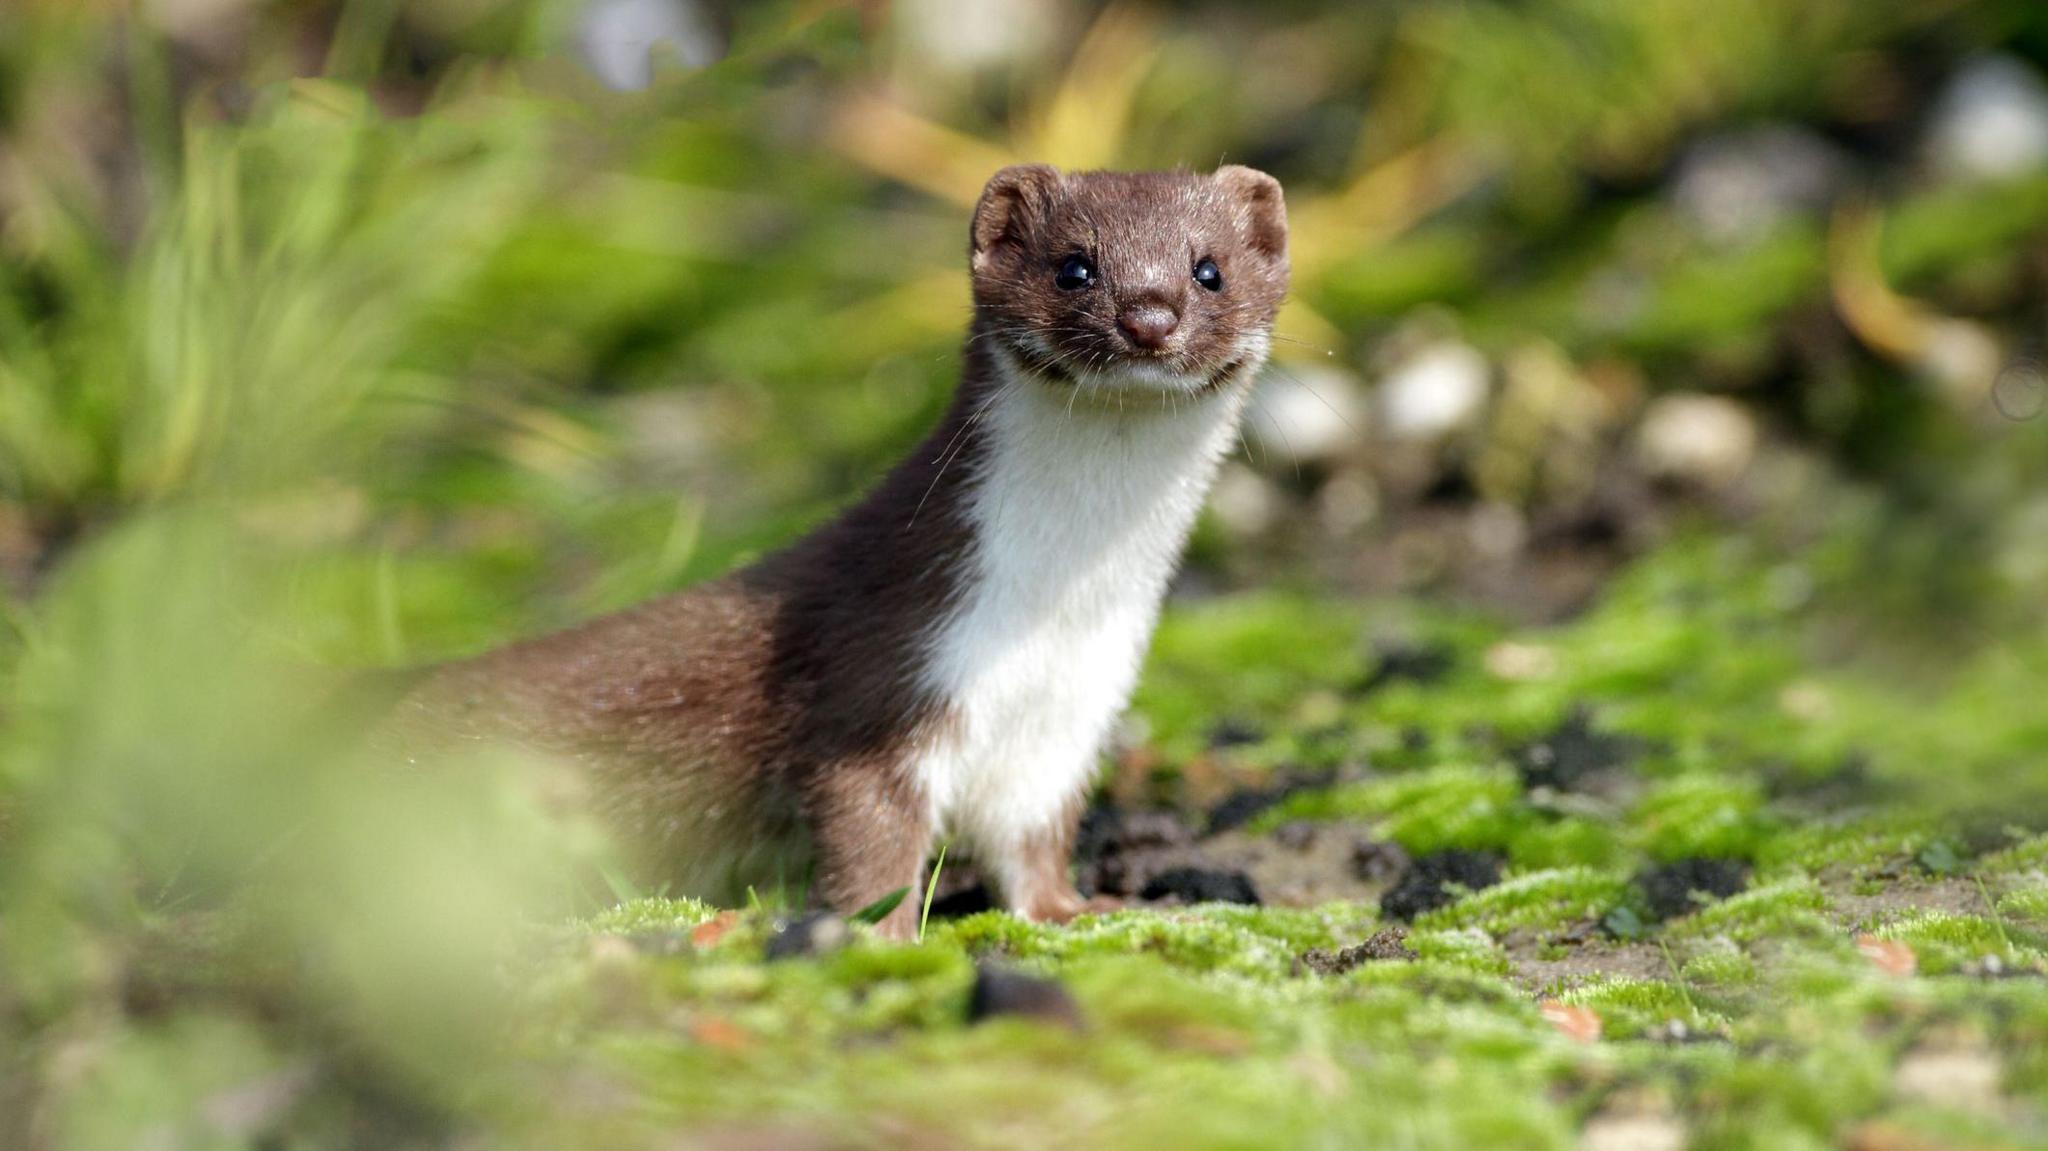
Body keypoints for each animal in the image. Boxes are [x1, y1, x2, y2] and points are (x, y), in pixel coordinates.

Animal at [391, 165, 1286, 938]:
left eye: (1208, 270)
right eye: (1075, 266)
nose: (1149, 316)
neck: (1050, 615)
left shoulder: (1066, 722)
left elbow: (1032, 841)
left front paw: (1082, 908)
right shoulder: (882, 673)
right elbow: (867, 834)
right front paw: (882, 934)